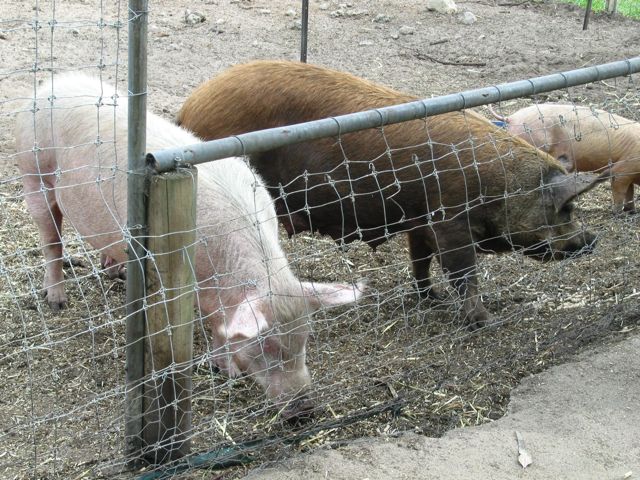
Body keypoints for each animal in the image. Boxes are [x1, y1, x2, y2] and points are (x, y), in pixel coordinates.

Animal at [13, 72, 364, 416]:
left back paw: (117, 273)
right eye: (266, 344)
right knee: (51, 238)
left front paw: (227, 372)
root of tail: (52, 83)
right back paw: (57, 301)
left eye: (305, 339)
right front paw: (224, 372)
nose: (304, 409)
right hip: (33, 170)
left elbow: (220, 327)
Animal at [178, 60, 604, 328]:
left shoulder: (420, 220)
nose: (592, 239)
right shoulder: (449, 221)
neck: (499, 184)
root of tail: (189, 107)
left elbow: (420, 261)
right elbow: (463, 272)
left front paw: (431, 298)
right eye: (567, 208)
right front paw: (484, 322)